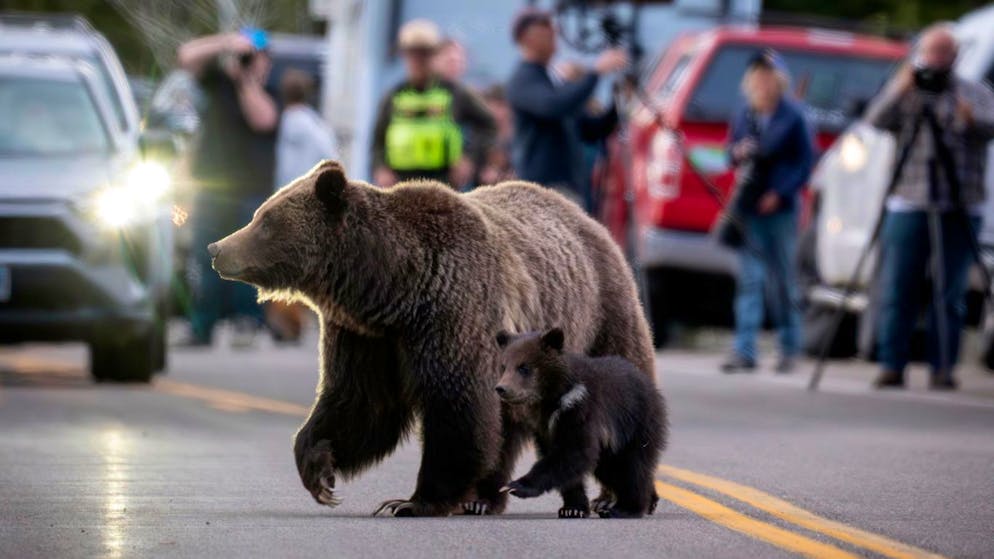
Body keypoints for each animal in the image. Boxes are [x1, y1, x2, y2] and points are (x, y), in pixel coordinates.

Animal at [495, 327, 666, 519]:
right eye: (503, 366)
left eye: (524, 367)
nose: (501, 388)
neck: (552, 399)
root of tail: (653, 388)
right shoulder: (543, 427)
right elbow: (561, 459)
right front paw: (572, 508)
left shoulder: (581, 410)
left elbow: (574, 451)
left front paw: (514, 486)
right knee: (611, 469)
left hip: (637, 424)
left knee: (632, 467)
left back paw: (626, 508)